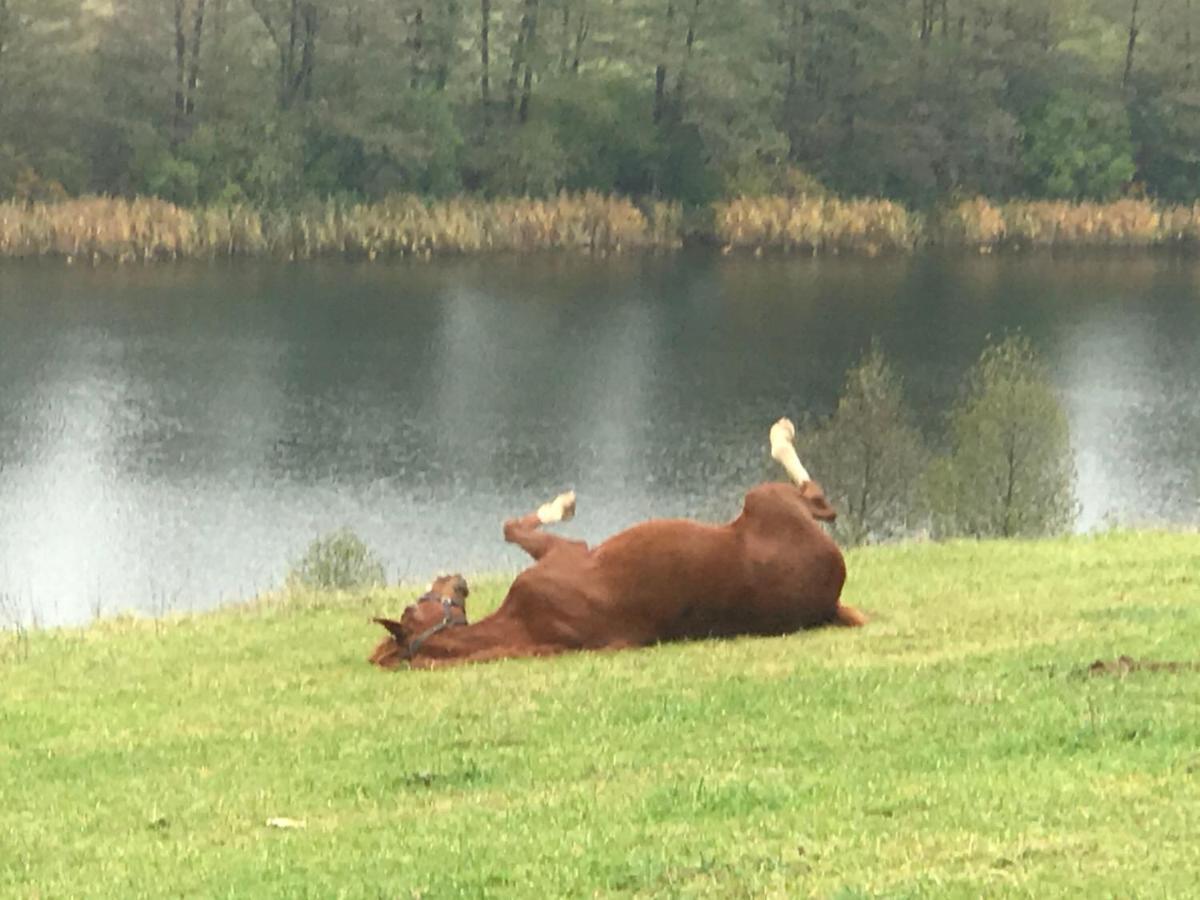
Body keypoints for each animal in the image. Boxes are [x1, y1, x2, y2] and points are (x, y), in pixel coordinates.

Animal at [364, 422, 864, 672]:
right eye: (413, 608)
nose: (453, 579)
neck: (527, 622)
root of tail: (830, 602)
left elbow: (510, 527)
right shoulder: (569, 553)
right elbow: (517, 527)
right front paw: (564, 503)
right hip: (766, 499)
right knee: (819, 499)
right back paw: (783, 433)